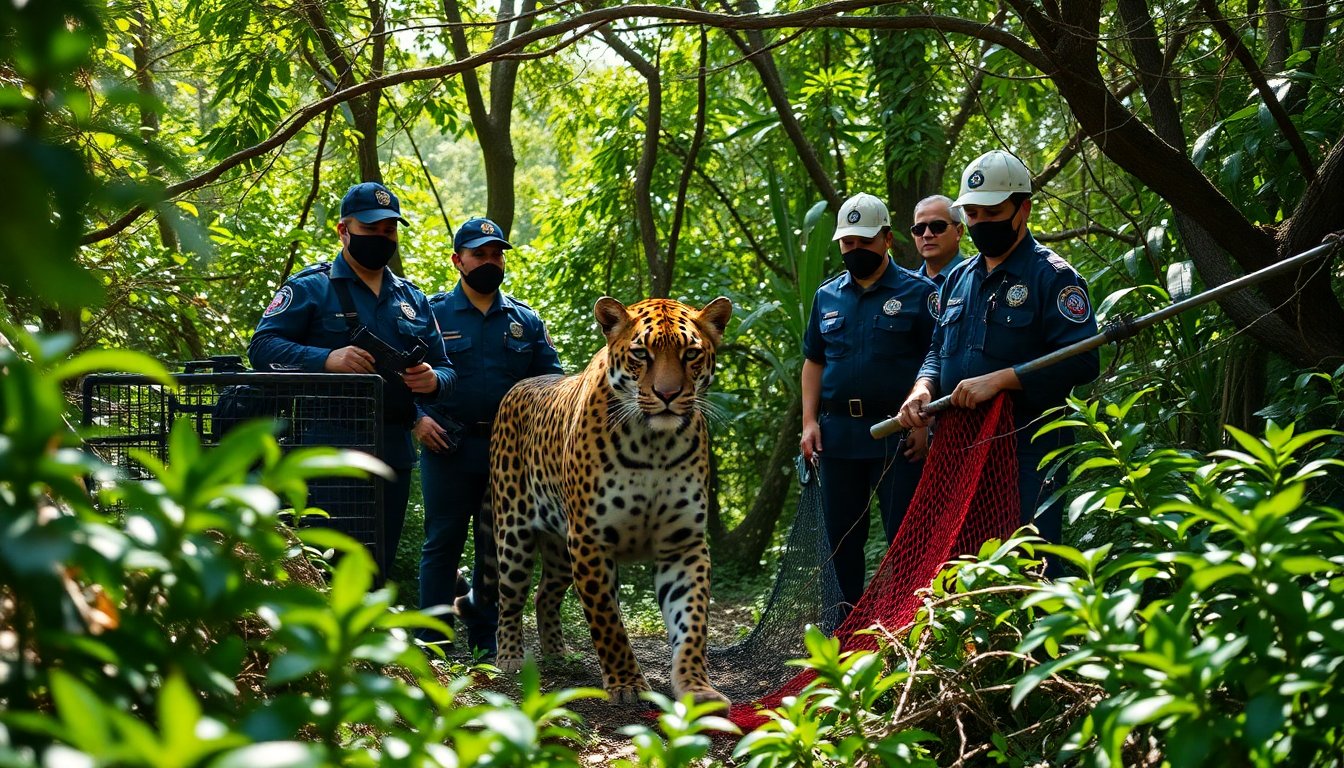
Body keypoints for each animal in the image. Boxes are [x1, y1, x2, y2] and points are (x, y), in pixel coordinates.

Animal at [465, 295, 733, 706]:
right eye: (641, 353)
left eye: (690, 354)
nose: (667, 395)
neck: (655, 445)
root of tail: (517, 387)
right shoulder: (590, 540)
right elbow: (608, 621)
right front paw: (627, 683)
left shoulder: (682, 544)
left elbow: (691, 621)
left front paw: (696, 686)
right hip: (514, 535)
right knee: (510, 596)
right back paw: (509, 656)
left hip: (559, 547)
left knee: (545, 594)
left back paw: (558, 653)